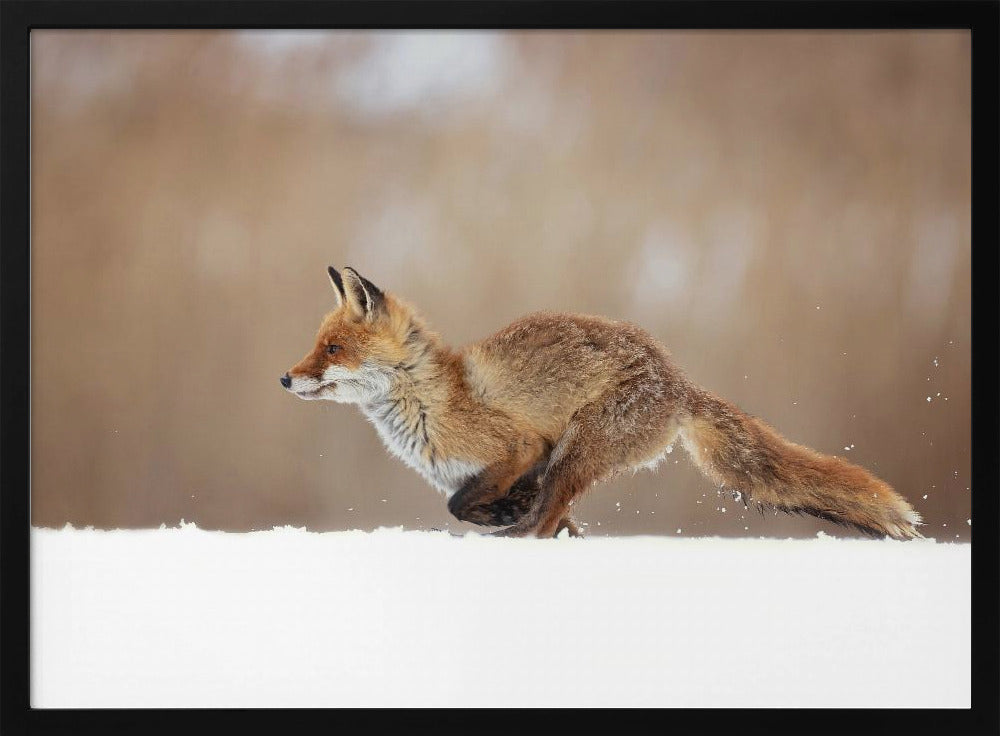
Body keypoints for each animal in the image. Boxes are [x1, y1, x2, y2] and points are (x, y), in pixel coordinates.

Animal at [281, 266, 923, 540]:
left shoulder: (521, 446)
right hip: (575, 458)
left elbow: (461, 504)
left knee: (545, 521)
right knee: (554, 517)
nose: (285, 379)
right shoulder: (509, 470)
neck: (430, 400)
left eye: (333, 349)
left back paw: (518, 536)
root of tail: (677, 379)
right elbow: (487, 505)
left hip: (577, 450)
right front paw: (505, 514)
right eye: (316, 344)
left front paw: (499, 519)